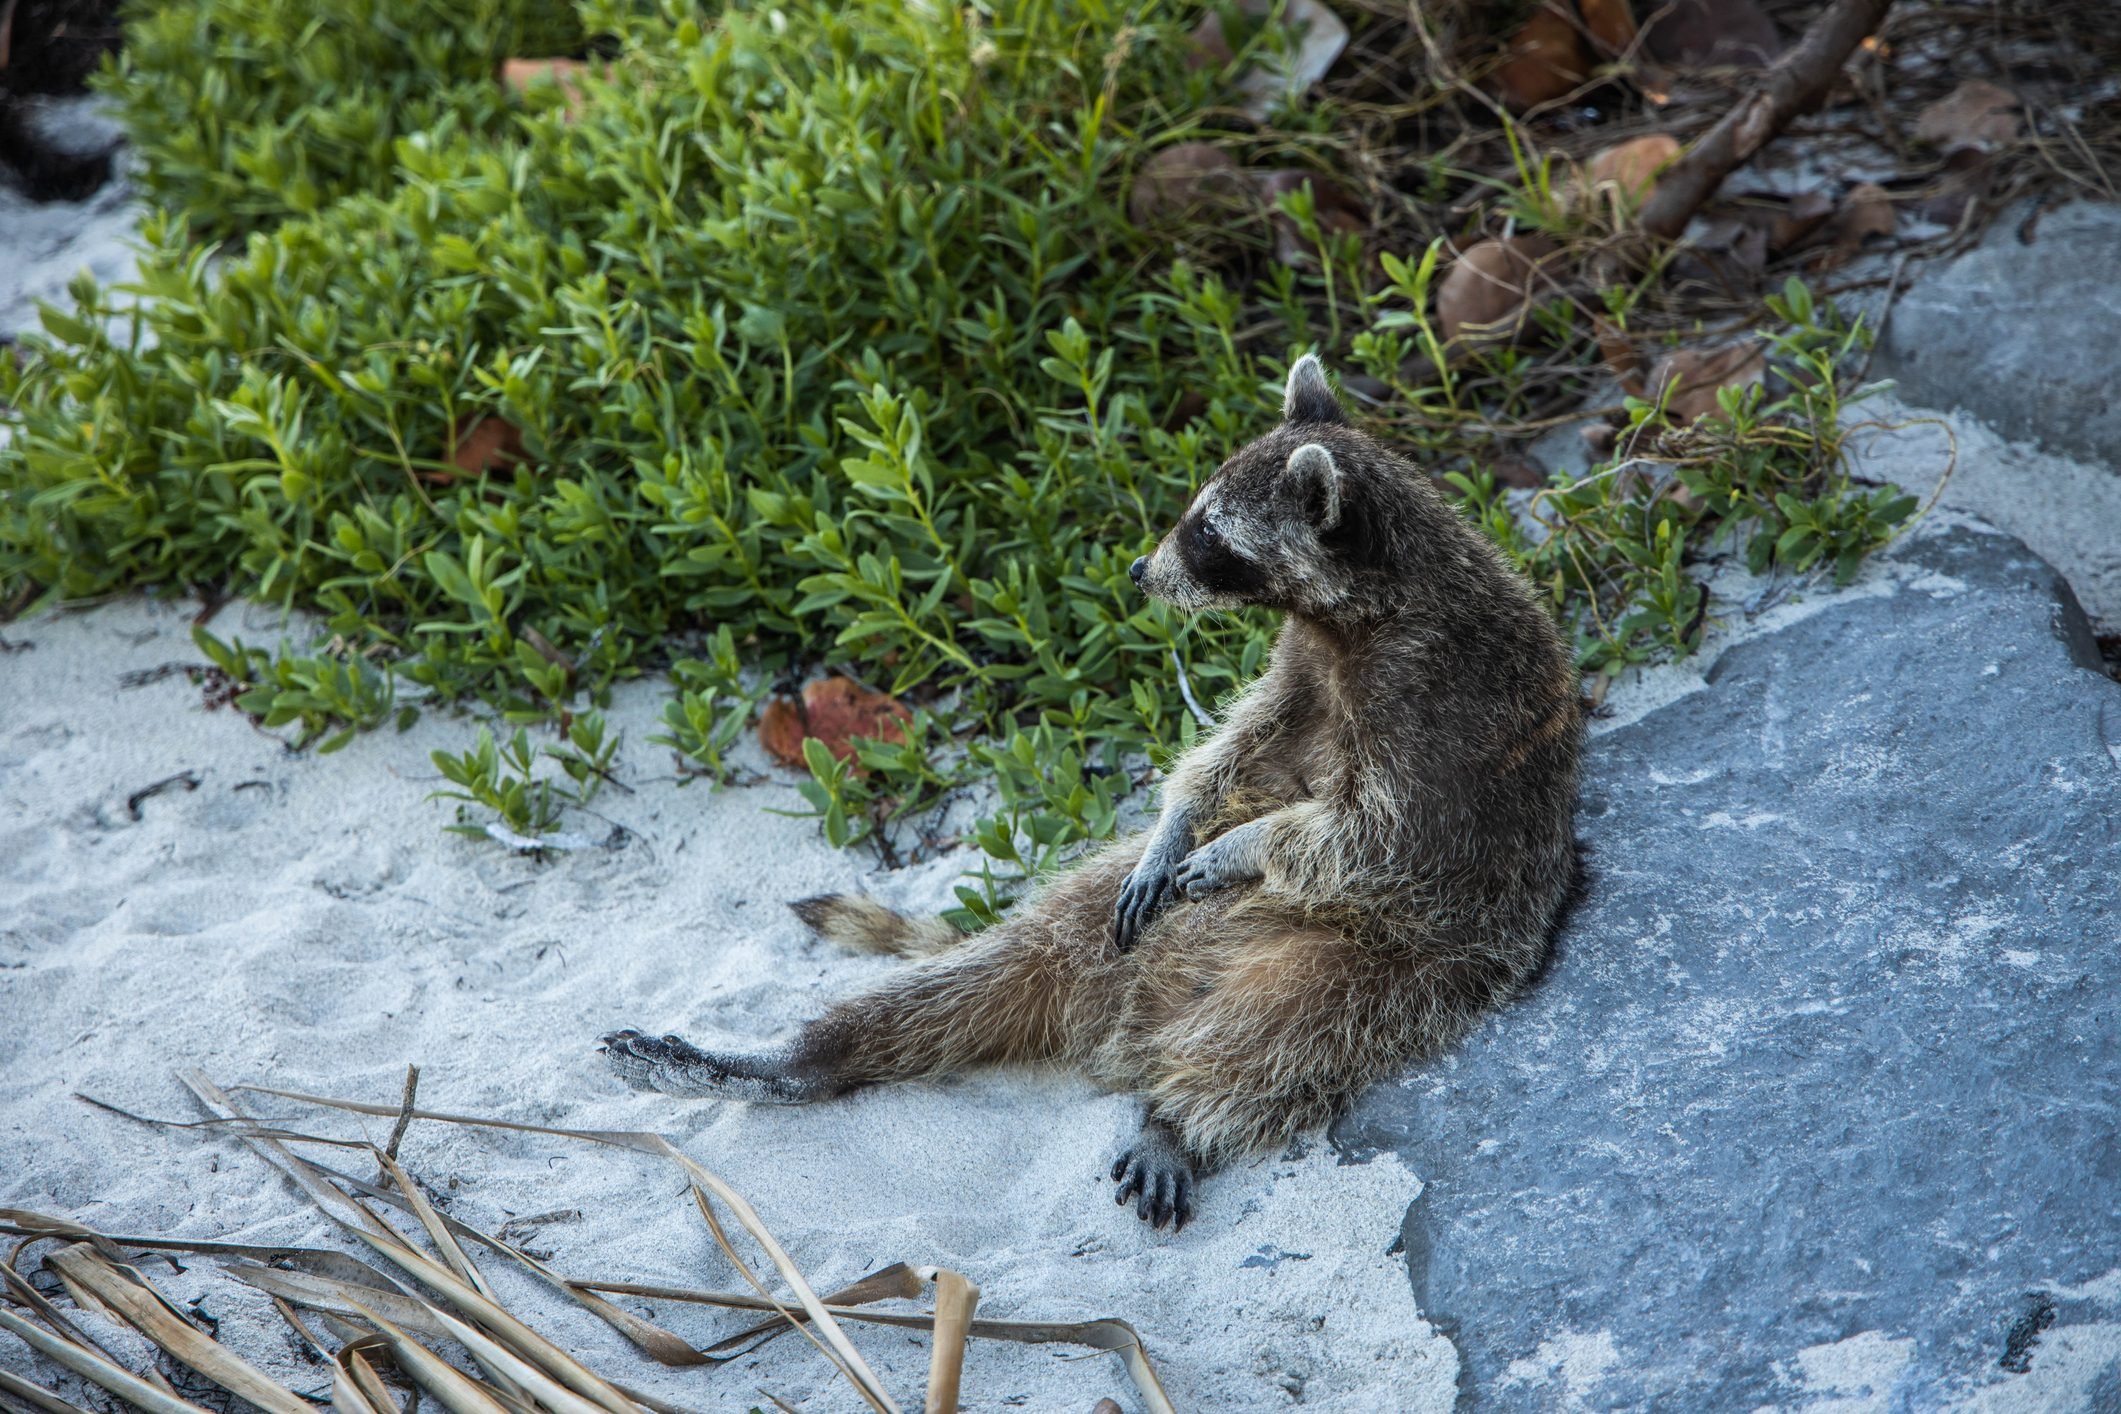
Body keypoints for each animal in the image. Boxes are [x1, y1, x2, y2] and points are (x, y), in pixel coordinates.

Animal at [602, 355, 1583, 1229]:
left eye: (1208, 534)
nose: (1141, 574)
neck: (1368, 607)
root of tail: (1132, 1027)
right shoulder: (1303, 666)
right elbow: (1231, 751)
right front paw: (1181, 823)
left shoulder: (1440, 720)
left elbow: (1370, 835)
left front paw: (1244, 845)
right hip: (1092, 924)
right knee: (979, 972)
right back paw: (798, 1059)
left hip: (1392, 969)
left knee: (1279, 1036)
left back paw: (1176, 1116)